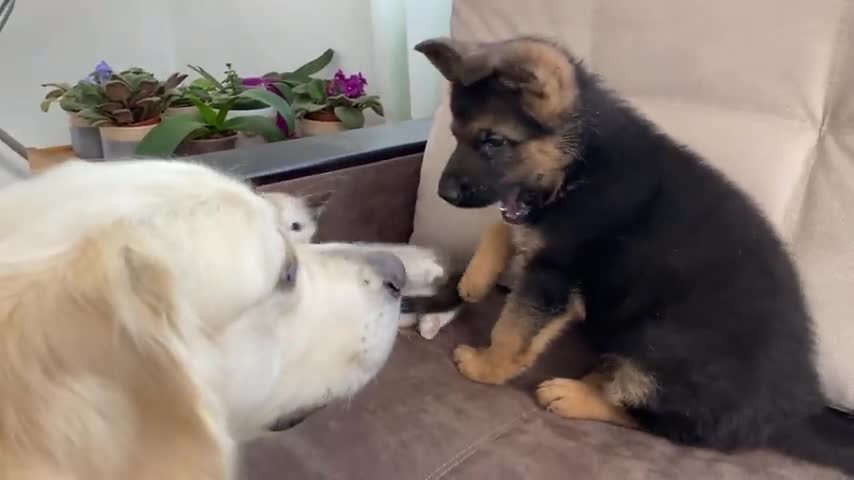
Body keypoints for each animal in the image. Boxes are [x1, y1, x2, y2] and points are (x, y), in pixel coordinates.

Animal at [416, 36, 854, 472]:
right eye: (455, 135)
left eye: (493, 141)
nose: (443, 193)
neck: (581, 164)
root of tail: (794, 412)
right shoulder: (538, 227)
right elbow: (503, 226)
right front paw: (475, 277)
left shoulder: (553, 274)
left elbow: (511, 331)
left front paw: (485, 367)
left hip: (657, 342)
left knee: (667, 422)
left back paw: (576, 395)